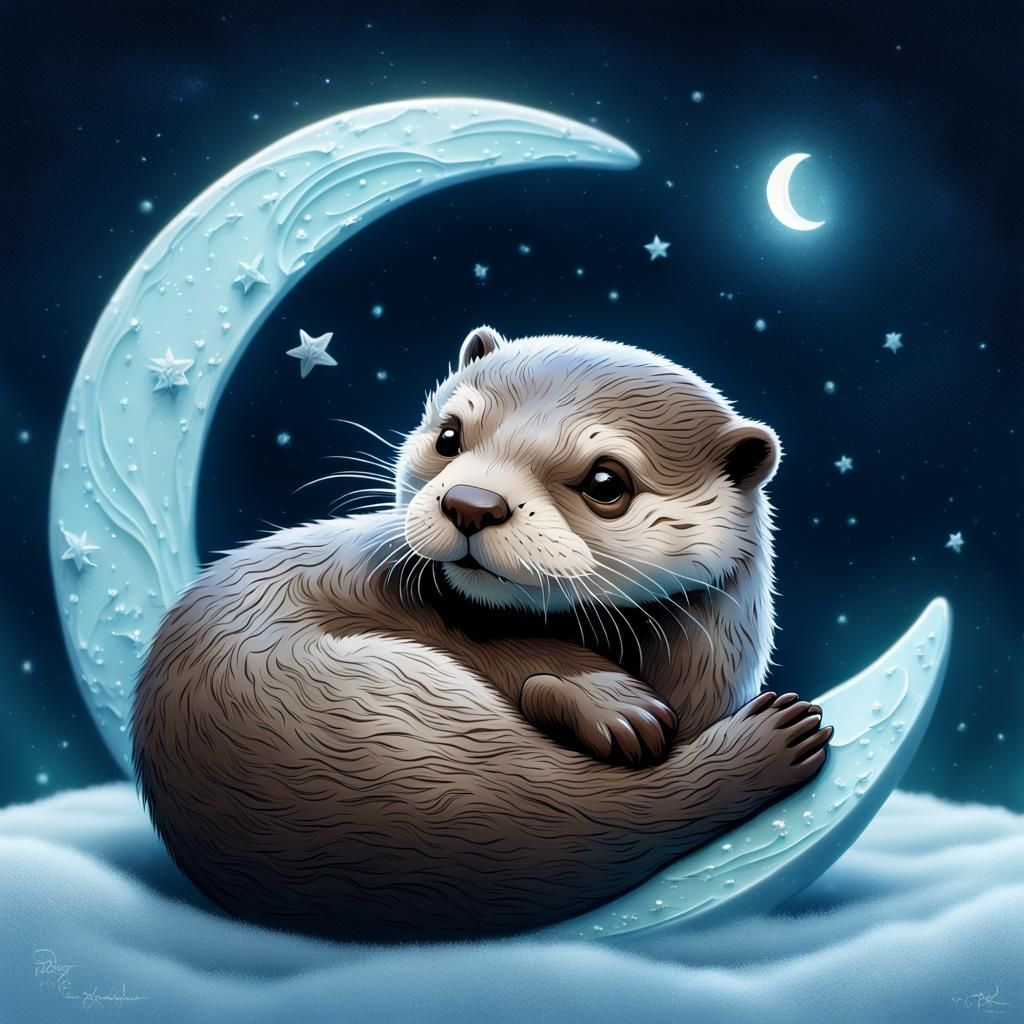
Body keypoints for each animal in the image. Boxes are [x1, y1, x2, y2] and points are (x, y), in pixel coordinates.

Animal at [132, 326, 832, 941]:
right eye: (449, 435)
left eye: (607, 481)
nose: (471, 502)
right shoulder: (364, 569)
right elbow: (490, 640)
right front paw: (611, 701)